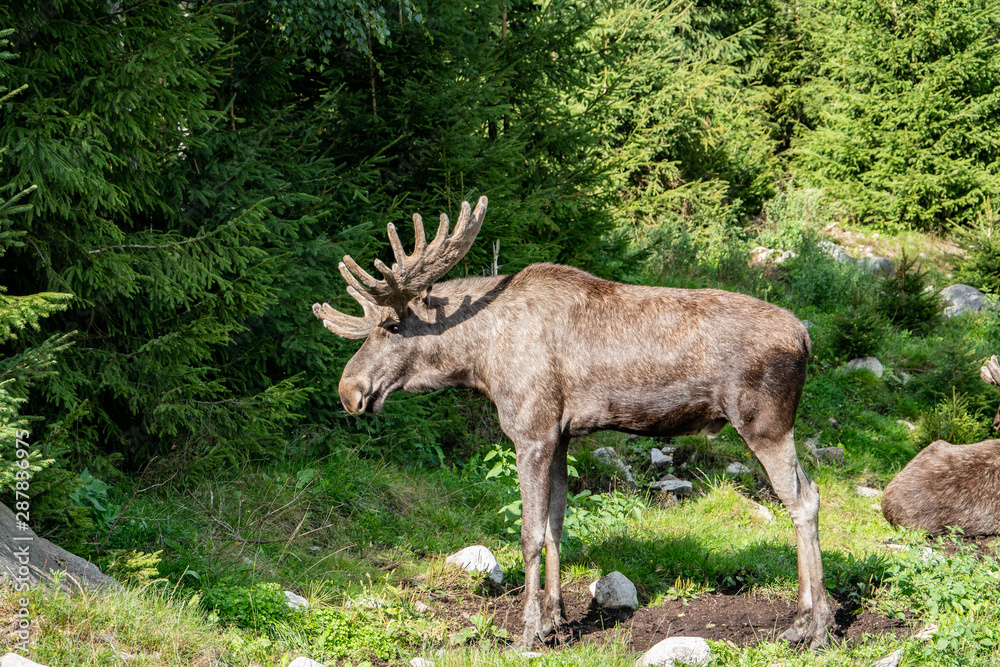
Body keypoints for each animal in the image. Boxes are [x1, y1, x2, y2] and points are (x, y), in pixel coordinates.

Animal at [312, 196, 834, 648]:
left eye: (392, 326)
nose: (348, 390)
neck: (479, 362)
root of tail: (806, 338)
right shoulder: (560, 435)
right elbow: (556, 526)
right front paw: (554, 621)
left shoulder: (531, 432)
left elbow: (528, 534)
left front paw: (527, 631)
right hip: (772, 425)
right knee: (810, 492)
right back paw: (804, 621)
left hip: (764, 423)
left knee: (803, 501)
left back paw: (815, 626)